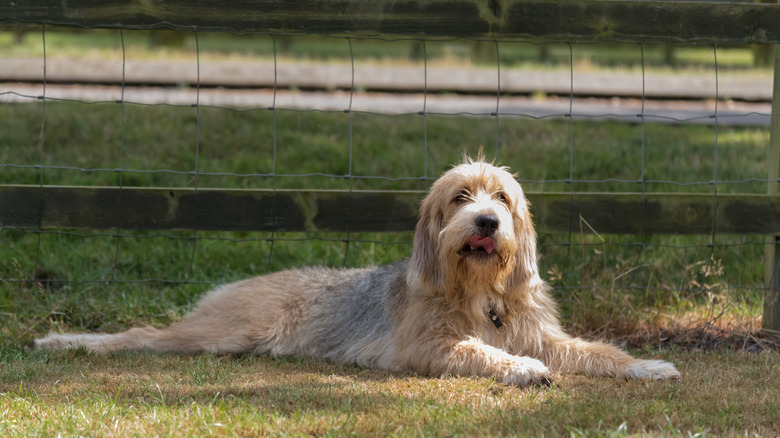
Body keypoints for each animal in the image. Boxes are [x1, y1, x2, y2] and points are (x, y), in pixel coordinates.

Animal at [39, 159, 680, 384]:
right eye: (460, 196)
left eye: (501, 197)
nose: (486, 221)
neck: (481, 294)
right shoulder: (430, 346)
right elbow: (482, 351)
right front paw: (521, 368)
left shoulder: (544, 334)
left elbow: (594, 350)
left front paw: (644, 365)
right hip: (218, 333)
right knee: (141, 335)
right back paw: (66, 342)